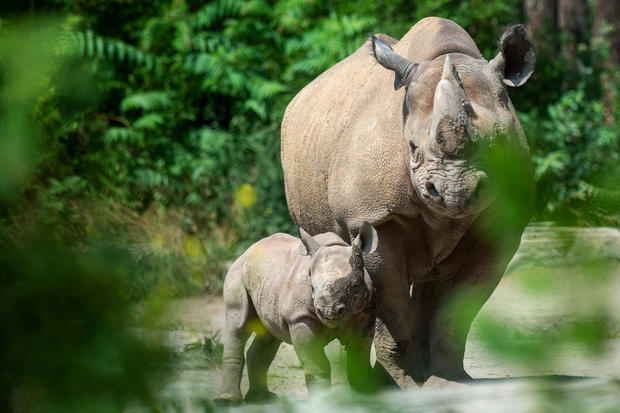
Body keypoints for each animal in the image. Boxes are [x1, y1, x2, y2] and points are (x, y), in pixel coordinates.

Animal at [218, 224, 382, 400]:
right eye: (312, 288)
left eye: (356, 285)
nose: (328, 311)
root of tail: (248, 250)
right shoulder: (300, 317)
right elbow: (317, 364)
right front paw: (321, 400)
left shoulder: (365, 314)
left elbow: (358, 361)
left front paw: (362, 397)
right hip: (237, 274)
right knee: (238, 326)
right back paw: (228, 401)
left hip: (265, 280)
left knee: (269, 333)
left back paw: (261, 397)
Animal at [284, 17, 536, 384]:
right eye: (412, 147)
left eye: (500, 143)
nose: (455, 192)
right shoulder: (375, 217)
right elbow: (391, 305)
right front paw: (403, 383)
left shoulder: (502, 224)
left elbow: (459, 310)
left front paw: (450, 380)